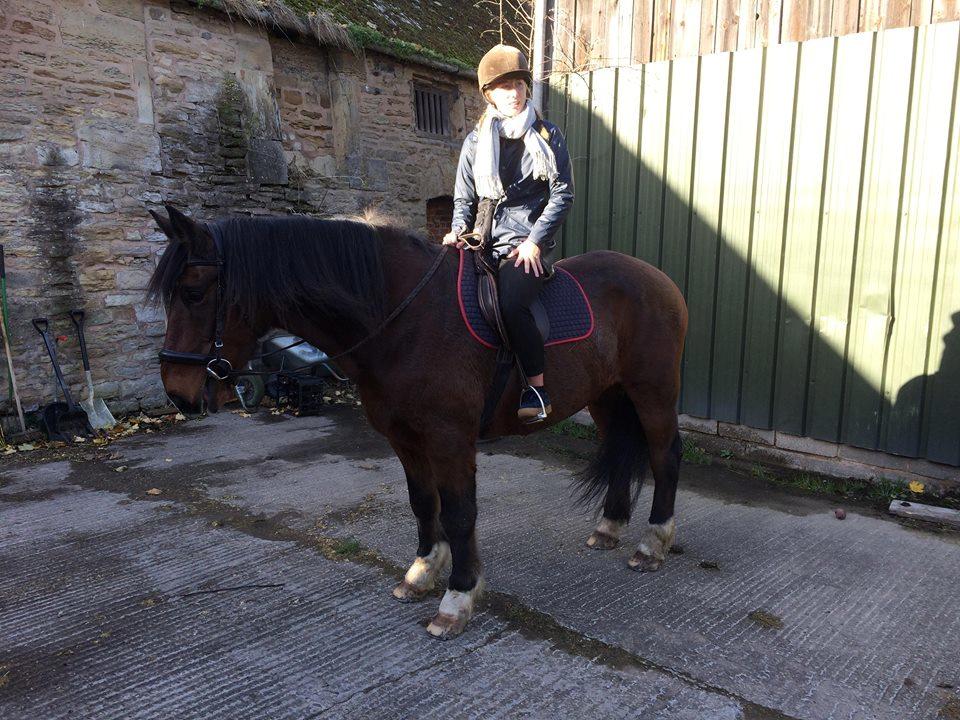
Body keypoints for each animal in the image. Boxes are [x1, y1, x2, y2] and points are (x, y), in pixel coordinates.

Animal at [146, 205, 688, 640]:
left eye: (193, 293)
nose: (178, 392)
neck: (404, 317)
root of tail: (658, 277)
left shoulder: (449, 440)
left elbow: (460, 513)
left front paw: (457, 599)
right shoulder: (404, 437)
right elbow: (423, 503)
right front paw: (423, 571)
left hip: (653, 391)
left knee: (665, 455)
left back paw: (653, 543)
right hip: (606, 396)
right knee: (621, 450)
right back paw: (610, 525)